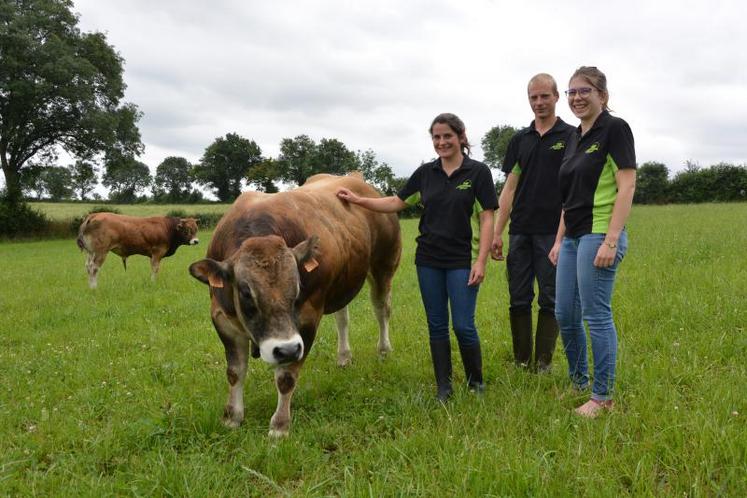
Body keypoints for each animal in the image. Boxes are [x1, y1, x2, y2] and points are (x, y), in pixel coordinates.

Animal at [190, 174, 400, 436]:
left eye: (298, 286)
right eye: (246, 292)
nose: (286, 349)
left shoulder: (307, 319)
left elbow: (286, 377)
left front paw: (280, 425)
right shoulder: (221, 318)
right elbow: (235, 372)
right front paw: (232, 417)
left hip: (384, 266)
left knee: (381, 309)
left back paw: (383, 350)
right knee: (342, 318)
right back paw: (344, 356)